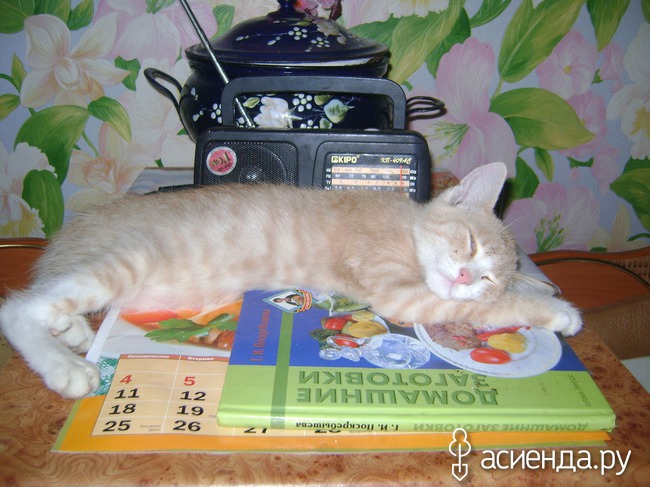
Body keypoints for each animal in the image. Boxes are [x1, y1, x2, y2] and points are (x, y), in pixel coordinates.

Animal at [0, 162, 581, 399]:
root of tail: (70, 236)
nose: (464, 276)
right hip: (125, 261)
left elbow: (480, 305)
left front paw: (532, 292)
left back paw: (73, 332)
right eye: (470, 243)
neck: (407, 228)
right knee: (17, 308)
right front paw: (556, 311)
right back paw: (65, 367)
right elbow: (481, 311)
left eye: (486, 274)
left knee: (50, 304)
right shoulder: (397, 291)